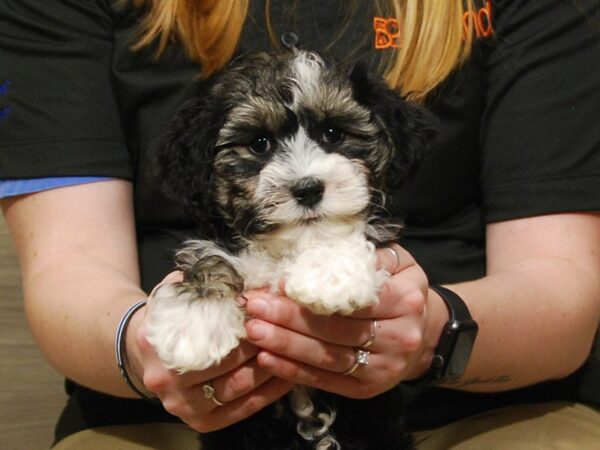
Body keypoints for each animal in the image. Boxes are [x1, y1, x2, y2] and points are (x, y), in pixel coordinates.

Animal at [148, 49, 434, 450]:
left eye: (333, 133)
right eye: (259, 144)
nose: (308, 188)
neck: (285, 248)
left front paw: (330, 278)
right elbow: (209, 258)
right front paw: (194, 322)